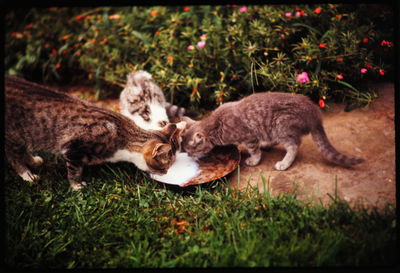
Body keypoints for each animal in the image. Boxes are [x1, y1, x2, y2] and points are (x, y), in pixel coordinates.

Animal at [183, 92, 364, 171]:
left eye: (190, 150)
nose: (189, 156)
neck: (215, 123)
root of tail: (313, 113)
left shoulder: (249, 137)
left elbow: (254, 151)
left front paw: (254, 160)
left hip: (280, 126)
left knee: (294, 145)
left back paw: (285, 162)